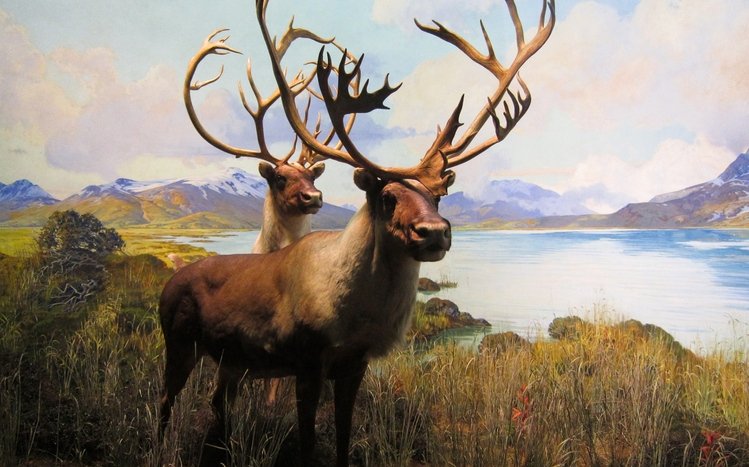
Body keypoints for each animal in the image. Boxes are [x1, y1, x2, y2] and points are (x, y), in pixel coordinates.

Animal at [158, 0, 555, 465]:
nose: (435, 232)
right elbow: (308, 441)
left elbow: (344, 437)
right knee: (165, 403)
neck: (352, 316)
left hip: (231, 360)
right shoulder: (307, 360)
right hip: (179, 343)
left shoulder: (354, 364)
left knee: (218, 405)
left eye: (439, 196)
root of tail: (170, 281)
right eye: (385, 194)